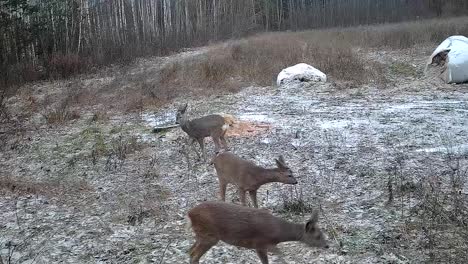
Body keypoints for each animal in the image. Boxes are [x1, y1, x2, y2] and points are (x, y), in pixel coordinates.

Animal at [186, 201, 330, 262]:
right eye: (317, 236)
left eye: (322, 233)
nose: (327, 245)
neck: (278, 233)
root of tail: (189, 213)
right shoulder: (261, 243)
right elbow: (281, 256)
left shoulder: (261, 247)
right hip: (209, 235)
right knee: (194, 254)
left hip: (201, 234)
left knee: (190, 251)